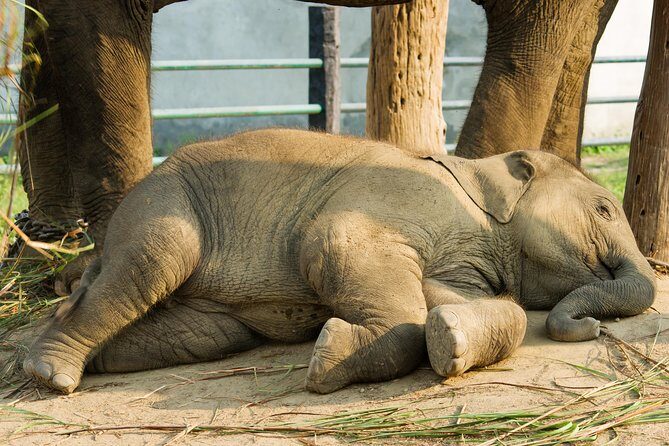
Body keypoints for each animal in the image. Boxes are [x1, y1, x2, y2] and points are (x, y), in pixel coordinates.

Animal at [23, 129, 656, 395]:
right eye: (604, 208)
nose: (593, 326)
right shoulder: (397, 201)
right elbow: (336, 242)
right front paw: (326, 360)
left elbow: (452, 299)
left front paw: (450, 338)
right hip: (167, 202)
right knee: (153, 261)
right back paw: (50, 374)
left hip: (199, 303)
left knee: (204, 332)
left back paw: (82, 360)